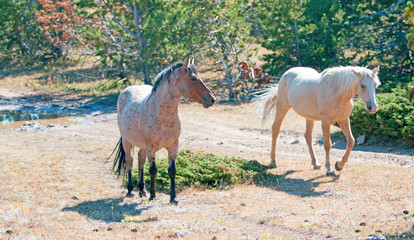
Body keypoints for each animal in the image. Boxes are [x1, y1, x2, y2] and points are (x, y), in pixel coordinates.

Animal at [113, 57, 217, 203]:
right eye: (193, 78)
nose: (212, 99)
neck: (162, 116)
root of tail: (125, 91)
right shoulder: (151, 147)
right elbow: (153, 170)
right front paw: (153, 195)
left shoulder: (173, 146)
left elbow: (172, 170)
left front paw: (173, 197)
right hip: (127, 142)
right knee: (130, 161)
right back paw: (130, 190)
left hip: (142, 146)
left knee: (140, 159)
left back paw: (142, 190)